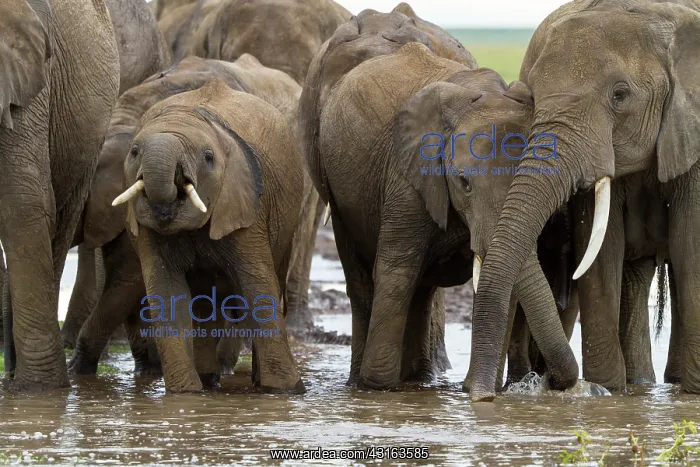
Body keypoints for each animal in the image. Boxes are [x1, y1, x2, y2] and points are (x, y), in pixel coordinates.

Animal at [67, 55, 305, 387]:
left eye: (208, 157)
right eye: (135, 152)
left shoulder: (245, 206)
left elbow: (257, 285)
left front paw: (286, 390)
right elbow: (165, 292)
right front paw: (186, 392)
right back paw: (207, 379)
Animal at [469, 0, 700, 401]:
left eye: (620, 95)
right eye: (531, 99)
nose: (482, 397)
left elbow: (692, 246)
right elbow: (601, 252)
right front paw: (606, 392)